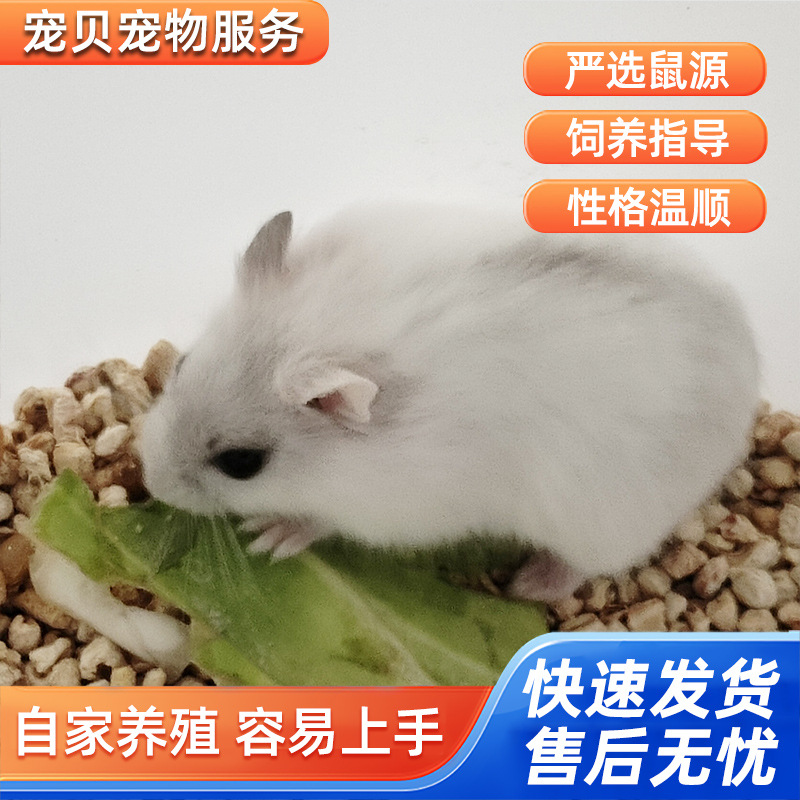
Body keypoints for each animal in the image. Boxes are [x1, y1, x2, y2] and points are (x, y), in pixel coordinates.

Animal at [140, 204, 759, 601]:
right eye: (182, 364)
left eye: (242, 464)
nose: (151, 483)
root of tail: (749, 370)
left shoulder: (396, 507)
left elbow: (319, 519)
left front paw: (269, 537)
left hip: (603, 521)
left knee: (582, 565)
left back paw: (527, 586)